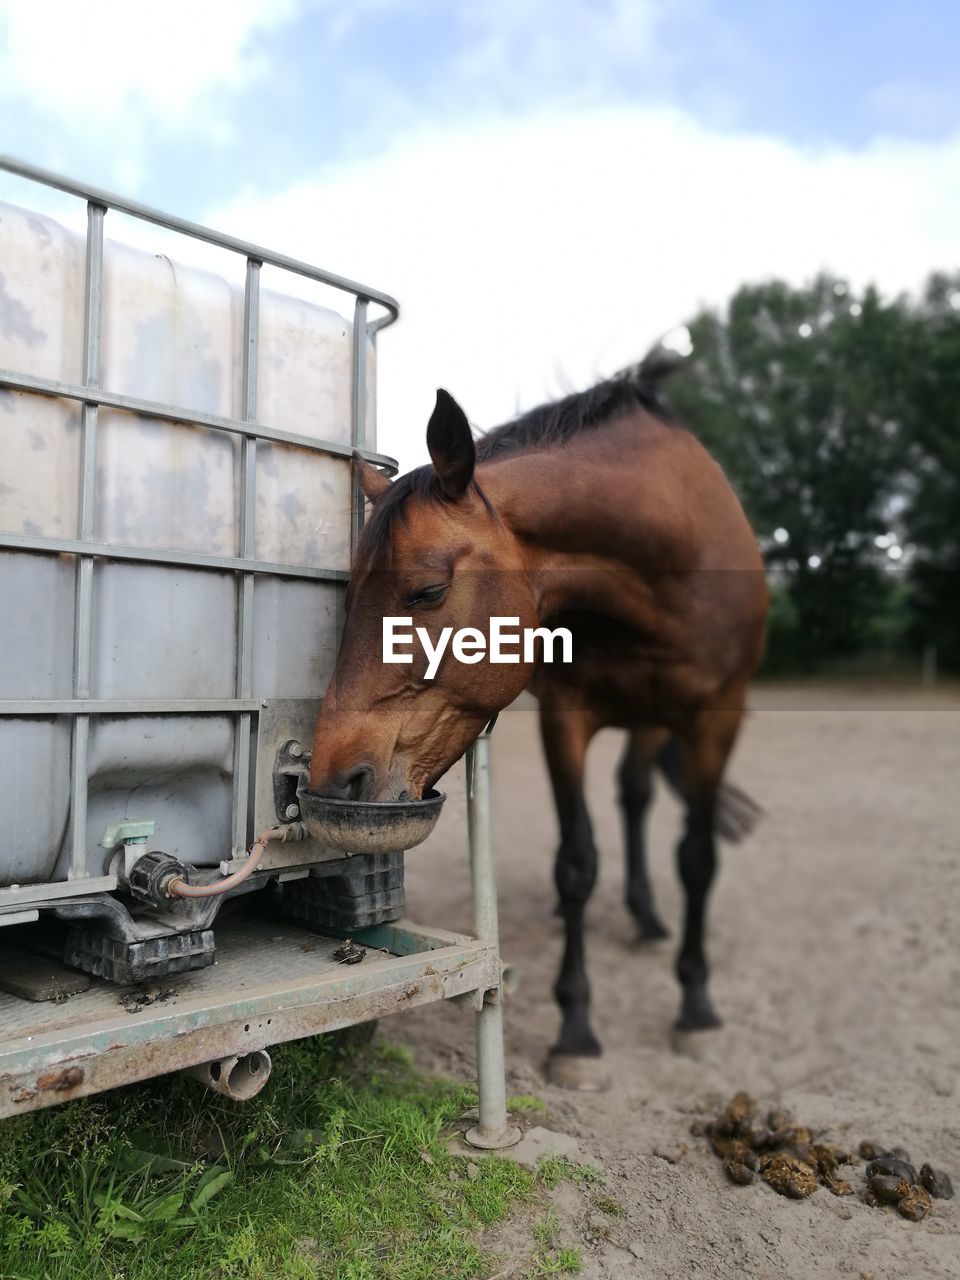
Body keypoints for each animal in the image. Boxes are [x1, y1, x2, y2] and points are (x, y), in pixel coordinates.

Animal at [308, 350, 768, 1090]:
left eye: (428, 590)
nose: (330, 777)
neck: (671, 559)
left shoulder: (717, 716)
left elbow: (698, 858)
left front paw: (696, 1009)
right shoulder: (567, 715)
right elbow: (576, 864)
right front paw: (577, 1033)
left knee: (638, 798)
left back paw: (648, 917)